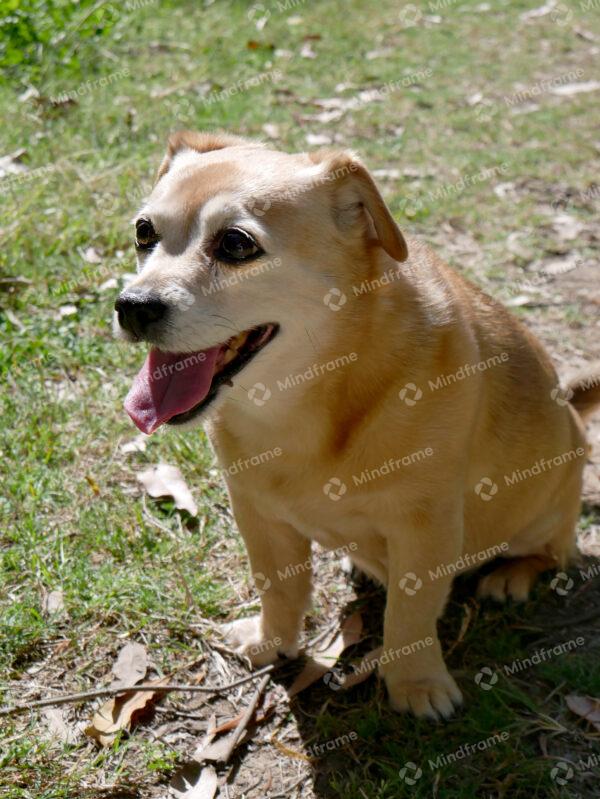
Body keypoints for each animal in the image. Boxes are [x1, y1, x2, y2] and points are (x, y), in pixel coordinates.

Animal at [116, 130, 600, 720]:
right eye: (144, 232)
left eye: (235, 244)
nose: (131, 305)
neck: (313, 393)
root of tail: (571, 409)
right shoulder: (257, 514)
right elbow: (278, 587)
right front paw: (272, 642)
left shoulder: (426, 527)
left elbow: (411, 613)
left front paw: (416, 683)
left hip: (543, 517)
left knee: (553, 552)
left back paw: (511, 575)